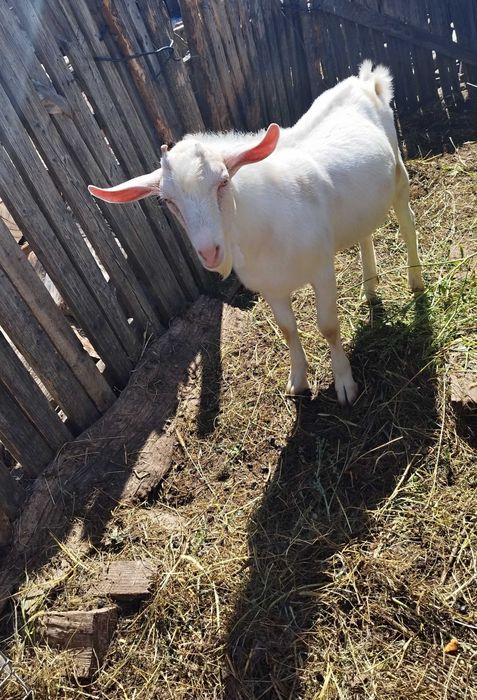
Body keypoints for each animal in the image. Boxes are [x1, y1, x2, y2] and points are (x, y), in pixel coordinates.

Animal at [89, 61, 424, 405]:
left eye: (223, 181)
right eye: (167, 201)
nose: (209, 252)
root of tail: (366, 81)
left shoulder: (321, 270)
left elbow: (328, 326)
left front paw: (345, 384)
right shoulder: (270, 287)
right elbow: (287, 330)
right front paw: (297, 381)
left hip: (399, 175)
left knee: (408, 224)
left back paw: (416, 282)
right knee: (364, 234)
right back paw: (369, 289)